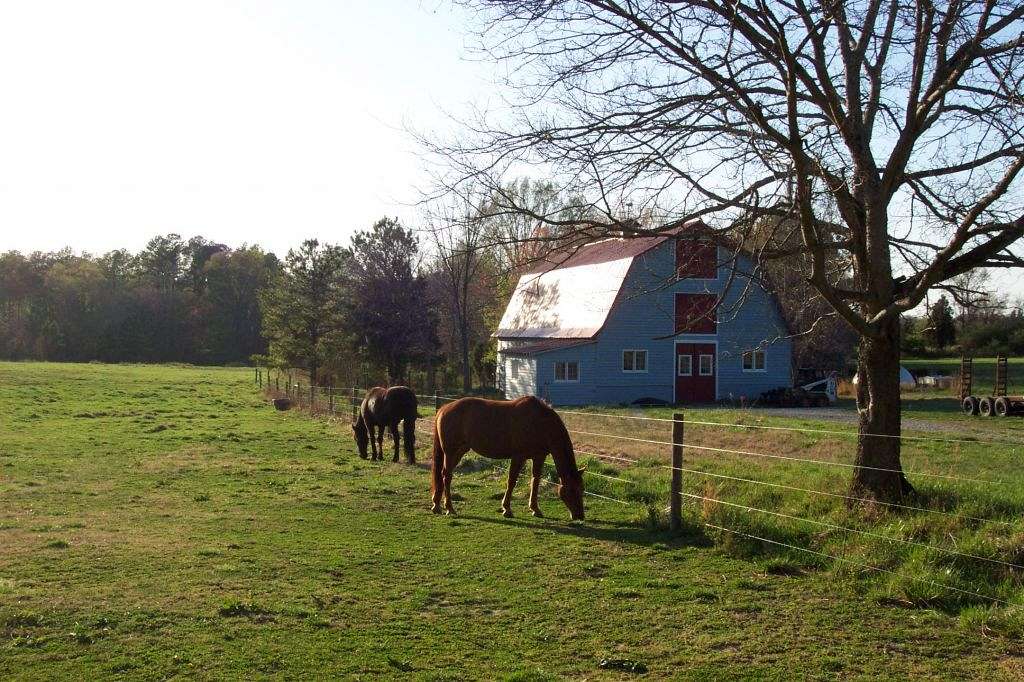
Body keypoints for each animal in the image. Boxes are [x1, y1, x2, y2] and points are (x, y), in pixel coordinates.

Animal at [428, 395, 585, 518]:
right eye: (573, 490)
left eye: (582, 489)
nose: (580, 516)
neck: (539, 422)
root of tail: (443, 409)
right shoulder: (518, 457)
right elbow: (512, 481)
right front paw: (507, 509)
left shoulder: (539, 457)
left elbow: (535, 481)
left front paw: (535, 509)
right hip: (451, 452)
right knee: (446, 475)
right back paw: (449, 508)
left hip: (460, 451)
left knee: (443, 474)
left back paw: (436, 504)